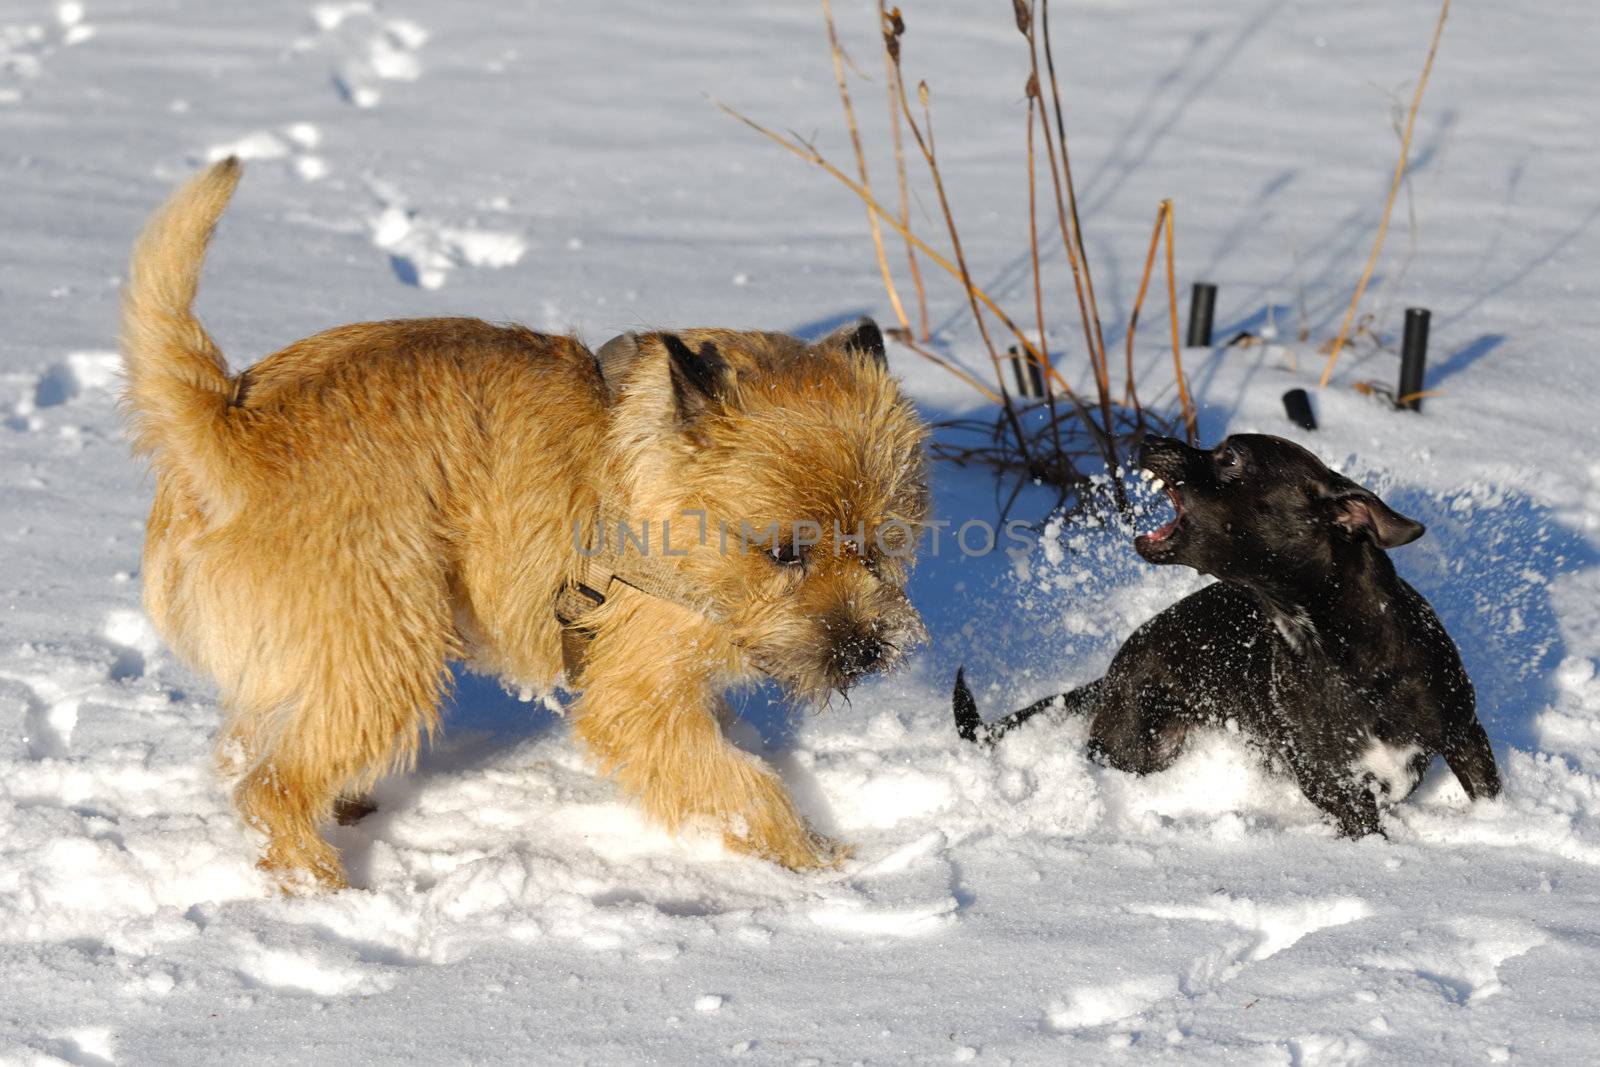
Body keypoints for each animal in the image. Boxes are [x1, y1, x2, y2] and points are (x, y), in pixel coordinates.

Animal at [124, 160, 934, 895]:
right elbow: (743, 783)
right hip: (390, 653)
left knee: (249, 750)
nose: (864, 649)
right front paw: (813, 864)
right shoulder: (638, 702)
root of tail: (230, 426)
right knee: (269, 788)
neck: (651, 485)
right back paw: (324, 886)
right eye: (784, 552)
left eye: (880, 543)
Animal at [960, 435, 1497, 831]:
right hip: (1136, 743)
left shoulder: (1465, 733)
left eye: (1232, 456)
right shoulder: (1332, 784)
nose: (1148, 439)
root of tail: (1113, 669)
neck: (1345, 654)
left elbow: (1488, 797)